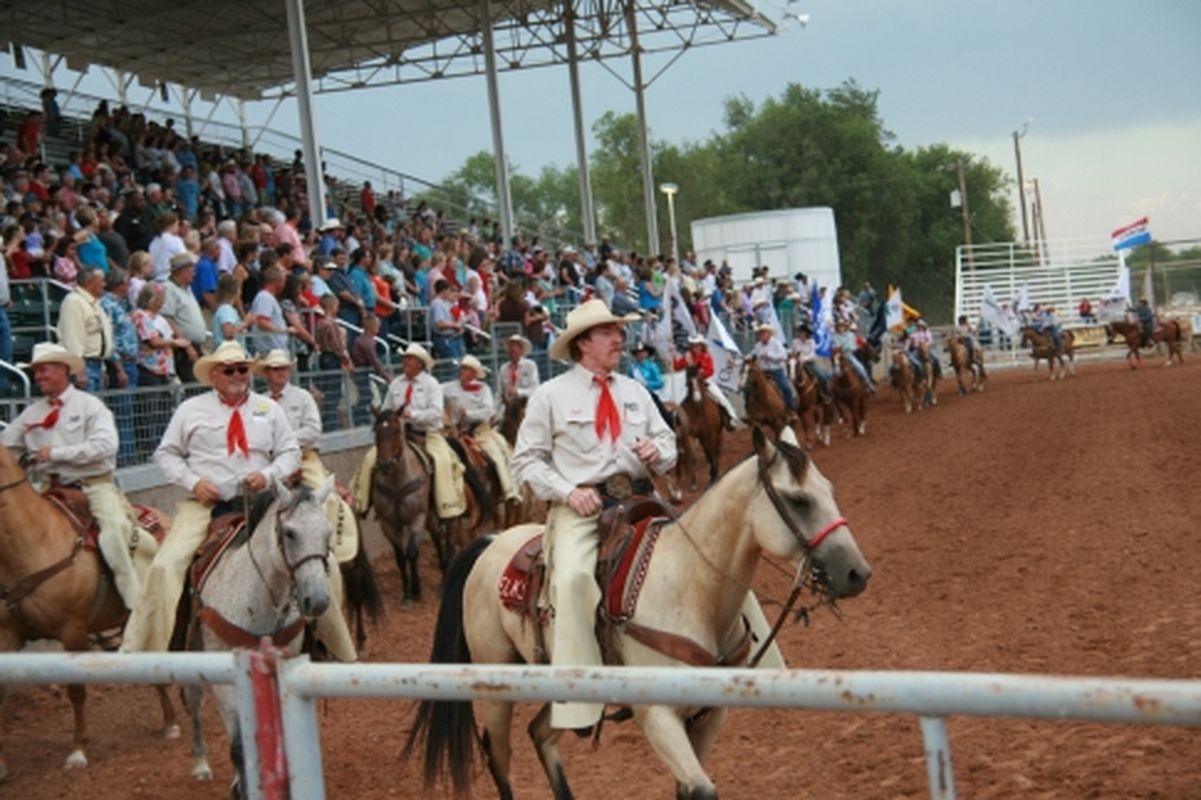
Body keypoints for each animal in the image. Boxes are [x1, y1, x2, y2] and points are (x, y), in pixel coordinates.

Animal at [182, 473, 336, 792]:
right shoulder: (225, 678)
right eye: (289, 533)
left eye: (328, 532)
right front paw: (241, 788)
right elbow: (238, 745)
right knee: (194, 697)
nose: (317, 600)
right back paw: (201, 764)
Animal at [374, 408, 437, 600]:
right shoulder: (389, 524)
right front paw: (407, 592)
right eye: (375, 431)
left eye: (397, 430)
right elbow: (400, 556)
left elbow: (412, 552)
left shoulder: (417, 518)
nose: (386, 464)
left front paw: (417, 589)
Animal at [403, 427, 874, 797]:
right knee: (499, 756)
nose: (857, 573)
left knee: (540, 734)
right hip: (495, 687)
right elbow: (700, 790)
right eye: (798, 500)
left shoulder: (710, 715)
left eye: (829, 491)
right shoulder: (659, 716)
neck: (690, 587)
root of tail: (490, 541)